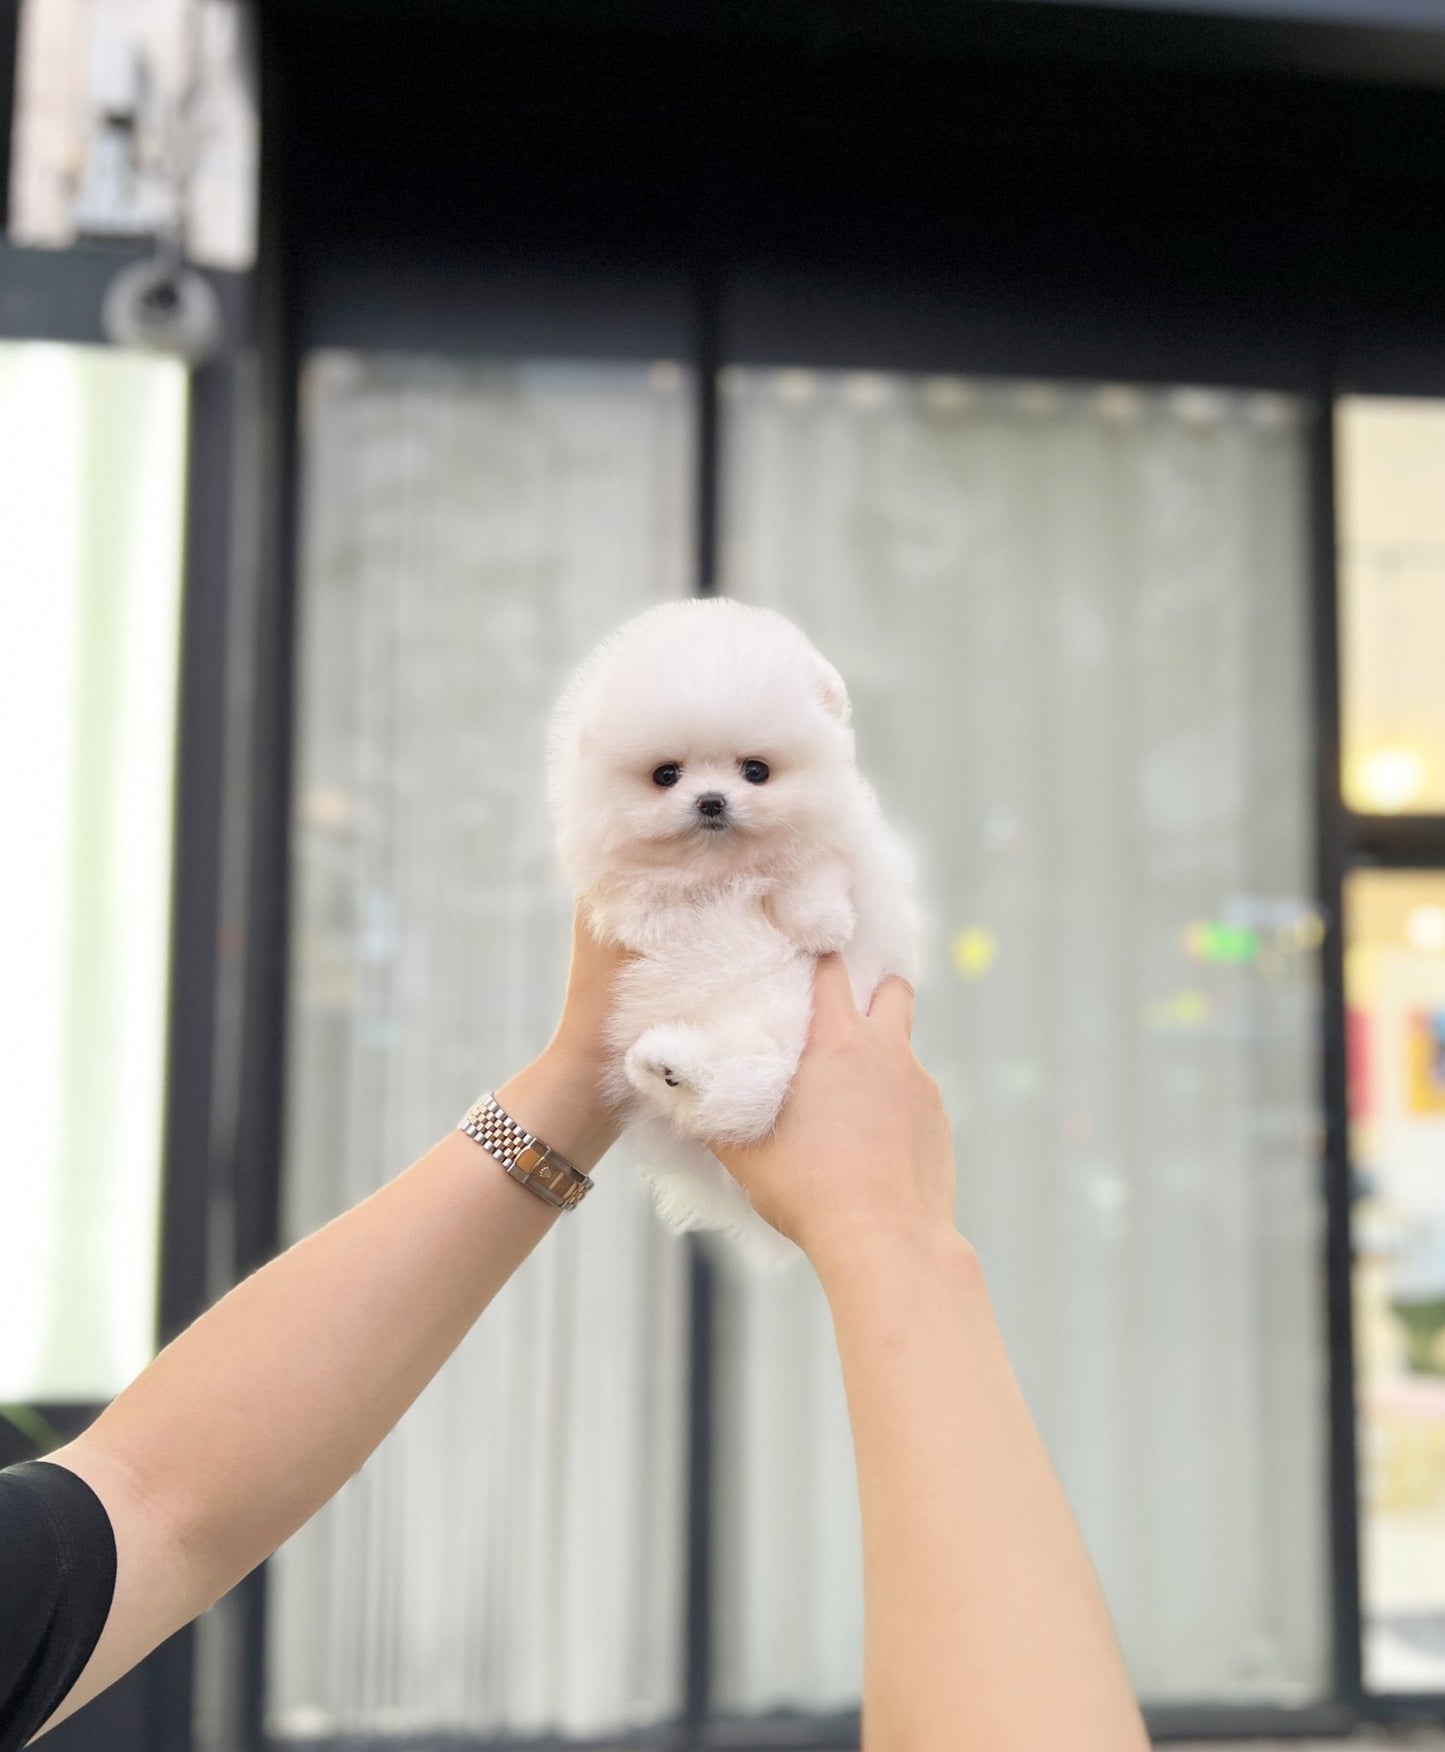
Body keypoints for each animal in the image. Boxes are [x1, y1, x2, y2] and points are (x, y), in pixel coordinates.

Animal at [549, 602, 910, 1261]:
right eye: (666, 774)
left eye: (756, 771)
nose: (712, 800)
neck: (723, 871)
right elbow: (642, 895)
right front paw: (660, 915)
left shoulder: (842, 850)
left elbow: (812, 871)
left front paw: (822, 923)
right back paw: (667, 1066)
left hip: (781, 1023)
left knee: (747, 1079)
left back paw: (677, 1066)